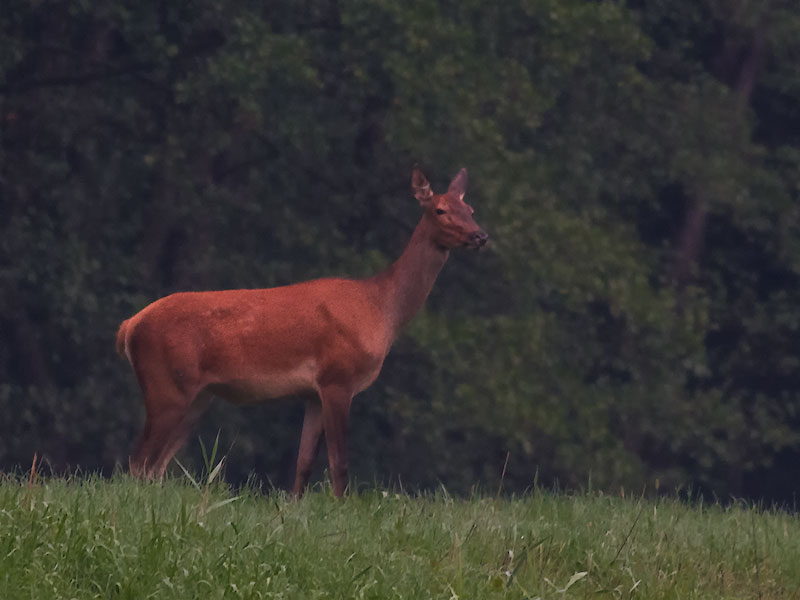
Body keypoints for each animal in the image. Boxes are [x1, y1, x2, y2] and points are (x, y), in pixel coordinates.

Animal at [114, 165, 488, 496]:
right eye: (440, 210)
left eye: (470, 209)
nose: (480, 235)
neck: (380, 309)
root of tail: (129, 326)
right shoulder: (338, 378)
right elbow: (339, 463)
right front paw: (342, 508)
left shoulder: (311, 392)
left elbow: (304, 464)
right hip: (167, 385)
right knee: (138, 462)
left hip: (199, 395)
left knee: (154, 466)